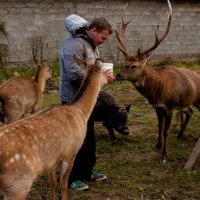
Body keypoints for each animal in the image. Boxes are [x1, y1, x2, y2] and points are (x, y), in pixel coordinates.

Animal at [0, 55, 108, 199]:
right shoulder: (71, 152)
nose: (111, 77)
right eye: (104, 70)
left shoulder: (52, 158)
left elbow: (53, 183)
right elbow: (64, 184)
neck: (80, 112)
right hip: (17, 184)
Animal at [115, 0, 200, 162]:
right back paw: (180, 135)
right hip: (187, 102)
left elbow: (166, 131)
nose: (117, 75)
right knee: (190, 112)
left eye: (133, 66)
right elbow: (159, 127)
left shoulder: (170, 106)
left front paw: (164, 156)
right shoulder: (157, 107)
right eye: (123, 63)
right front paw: (158, 145)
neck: (157, 91)